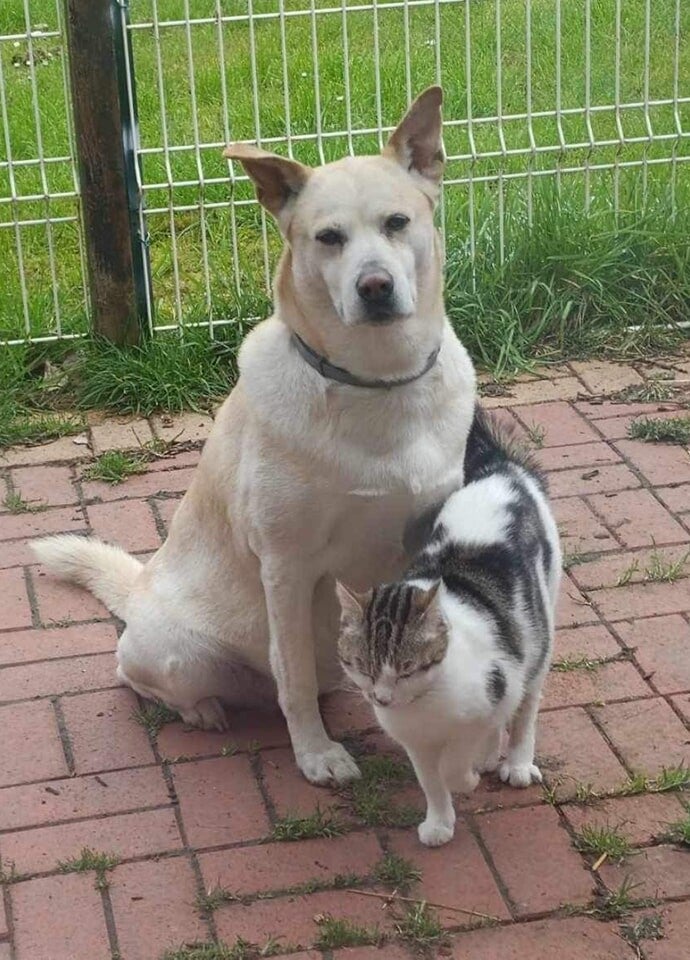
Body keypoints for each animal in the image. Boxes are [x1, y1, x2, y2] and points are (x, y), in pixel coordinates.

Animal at [32, 87, 476, 785]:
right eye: (328, 237)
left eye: (397, 222)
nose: (375, 286)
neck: (375, 384)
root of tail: (138, 591)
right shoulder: (288, 568)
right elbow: (292, 678)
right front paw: (316, 756)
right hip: (180, 651)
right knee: (150, 679)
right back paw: (204, 711)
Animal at [336, 406, 561, 846]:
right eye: (363, 666)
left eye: (406, 667)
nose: (381, 698)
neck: (424, 703)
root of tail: (500, 469)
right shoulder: (416, 742)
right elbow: (430, 780)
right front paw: (440, 821)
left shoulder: (490, 694)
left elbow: (455, 762)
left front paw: (466, 778)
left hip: (536, 638)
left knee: (526, 706)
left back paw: (515, 762)